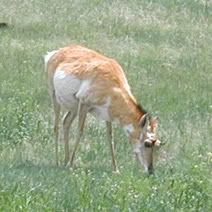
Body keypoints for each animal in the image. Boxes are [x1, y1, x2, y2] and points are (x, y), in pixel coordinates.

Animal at [44, 44, 161, 174]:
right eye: (147, 144)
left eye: (158, 144)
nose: (150, 171)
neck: (114, 86)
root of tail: (56, 52)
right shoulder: (85, 104)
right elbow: (80, 131)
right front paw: (71, 165)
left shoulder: (108, 115)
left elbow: (110, 137)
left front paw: (116, 169)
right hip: (55, 96)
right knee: (56, 126)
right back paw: (58, 162)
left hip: (74, 107)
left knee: (66, 122)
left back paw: (65, 161)